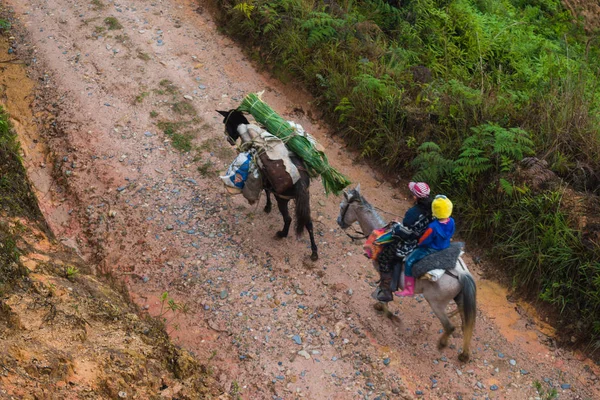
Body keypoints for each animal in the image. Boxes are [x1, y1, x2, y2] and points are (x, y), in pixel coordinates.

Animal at [217, 109, 318, 260]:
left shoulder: (266, 182)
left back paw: (281, 234)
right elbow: (267, 191)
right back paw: (314, 252)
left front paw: (267, 207)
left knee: (288, 219)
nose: (228, 140)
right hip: (304, 200)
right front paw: (268, 207)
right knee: (309, 223)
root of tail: (300, 182)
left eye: (226, 122)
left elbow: (267, 192)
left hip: (282, 199)